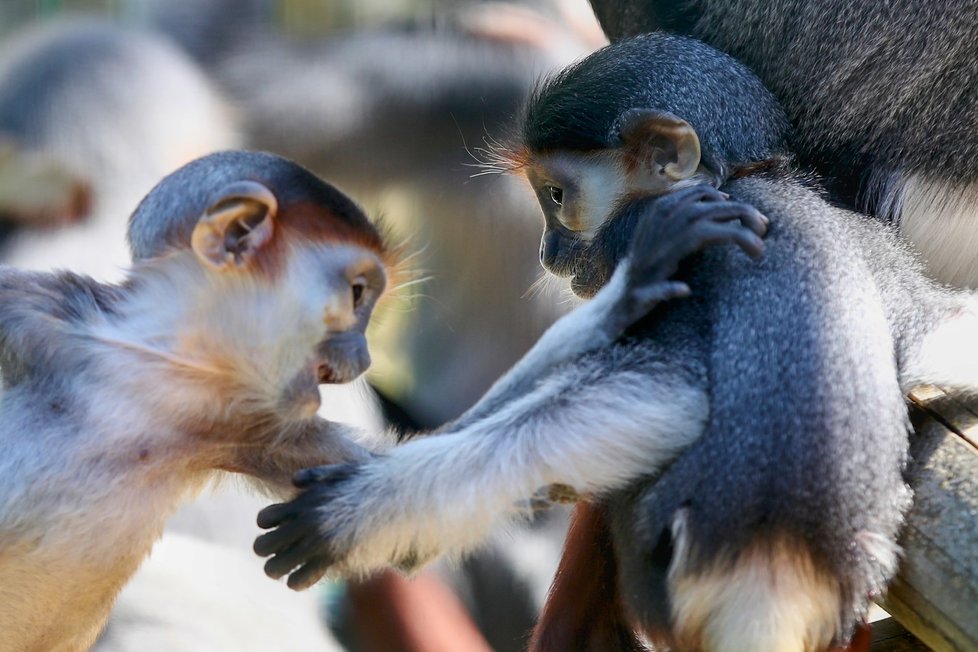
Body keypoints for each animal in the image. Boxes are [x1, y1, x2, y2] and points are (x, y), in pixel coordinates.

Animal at [254, 34, 978, 652]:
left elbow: (662, 386)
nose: (547, 255)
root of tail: (775, 566)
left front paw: (349, 512)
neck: (743, 180)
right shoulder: (877, 249)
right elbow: (936, 339)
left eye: (555, 196)